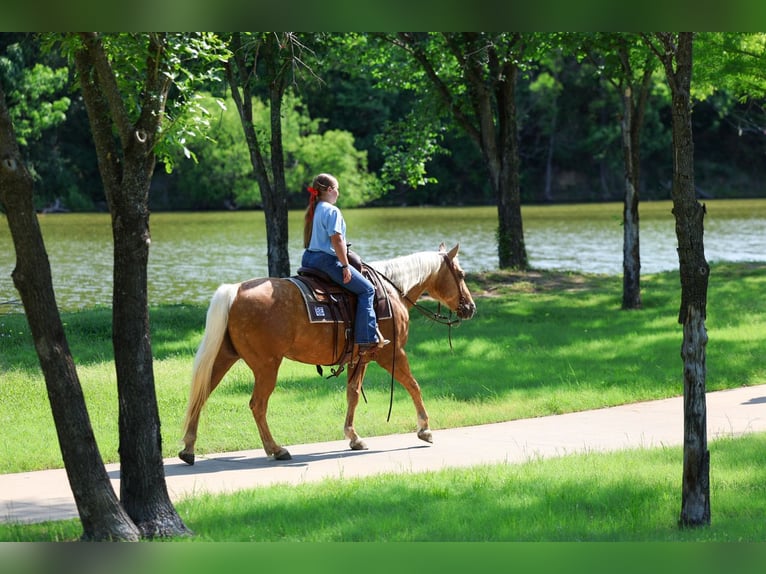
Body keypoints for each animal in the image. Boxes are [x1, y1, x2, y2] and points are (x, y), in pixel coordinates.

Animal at [179, 243, 476, 464]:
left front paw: (353, 437)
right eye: (461, 275)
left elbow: (353, 394)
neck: (392, 291)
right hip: (267, 366)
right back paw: (276, 449)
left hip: (224, 357)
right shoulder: (393, 353)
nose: (471, 307)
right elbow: (413, 385)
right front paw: (425, 429)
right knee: (257, 405)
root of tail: (236, 290)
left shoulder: (361, 357)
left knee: (201, 395)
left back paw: (188, 449)